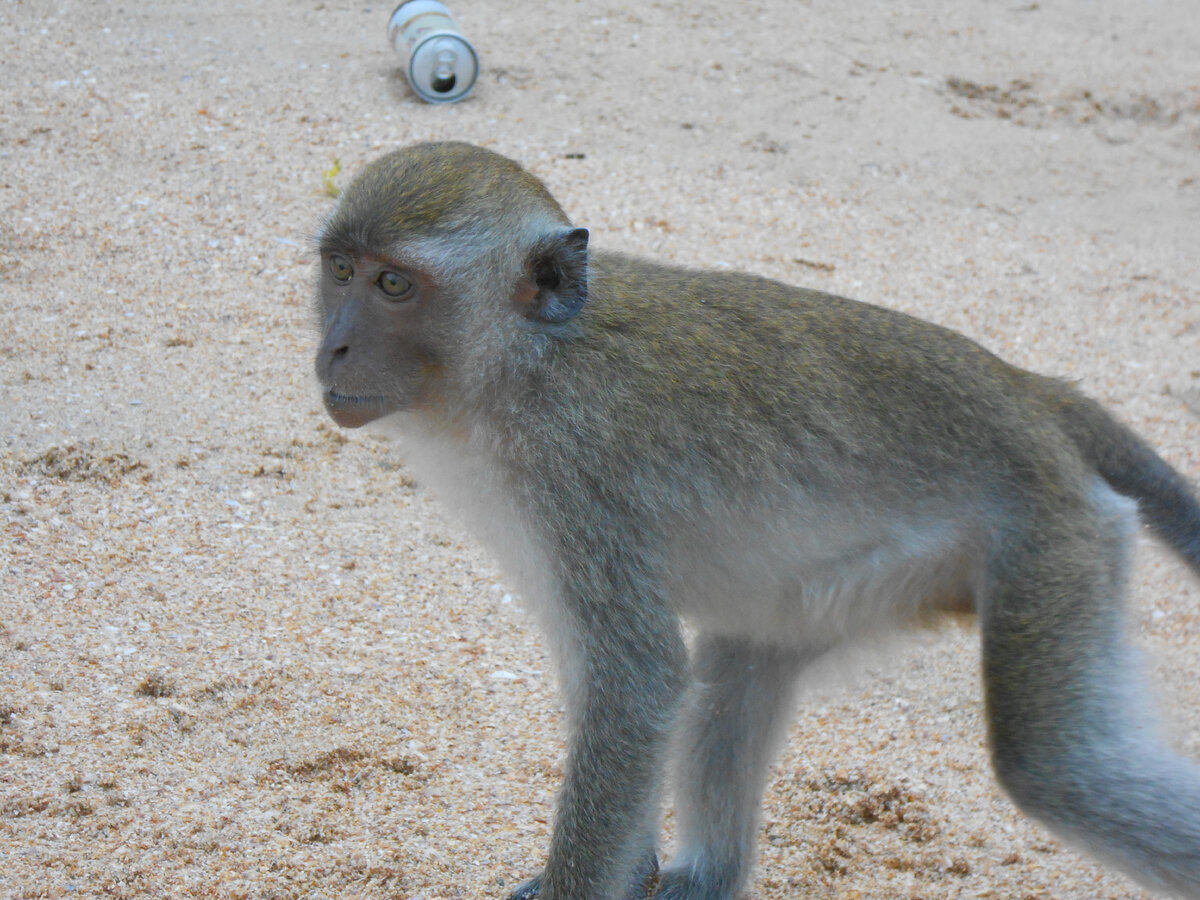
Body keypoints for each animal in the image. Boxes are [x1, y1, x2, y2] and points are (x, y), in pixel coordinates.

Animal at [312, 142, 1200, 900]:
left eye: (395, 286)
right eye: (342, 271)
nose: (333, 350)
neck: (525, 362)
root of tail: (1027, 389)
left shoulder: (576, 474)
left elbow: (634, 683)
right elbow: (624, 681)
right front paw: (634, 868)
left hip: (1054, 535)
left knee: (1057, 771)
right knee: (742, 661)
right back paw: (708, 874)